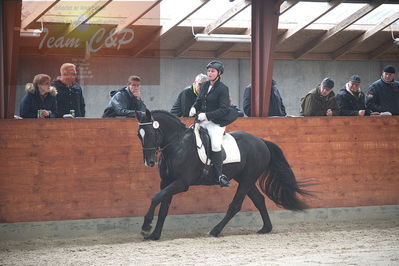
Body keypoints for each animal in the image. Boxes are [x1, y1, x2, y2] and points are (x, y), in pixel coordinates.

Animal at [136, 109, 310, 240]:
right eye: (139, 134)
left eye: (151, 133)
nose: (149, 162)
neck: (177, 145)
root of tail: (261, 141)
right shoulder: (167, 181)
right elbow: (163, 207)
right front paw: (155, 234)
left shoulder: (181, 183)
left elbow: (156, 198)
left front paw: (145, 227)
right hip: (246, 179)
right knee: (259, 200)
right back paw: (266, 228)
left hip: (247, 179)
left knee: (235, 205)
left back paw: (215, 231)